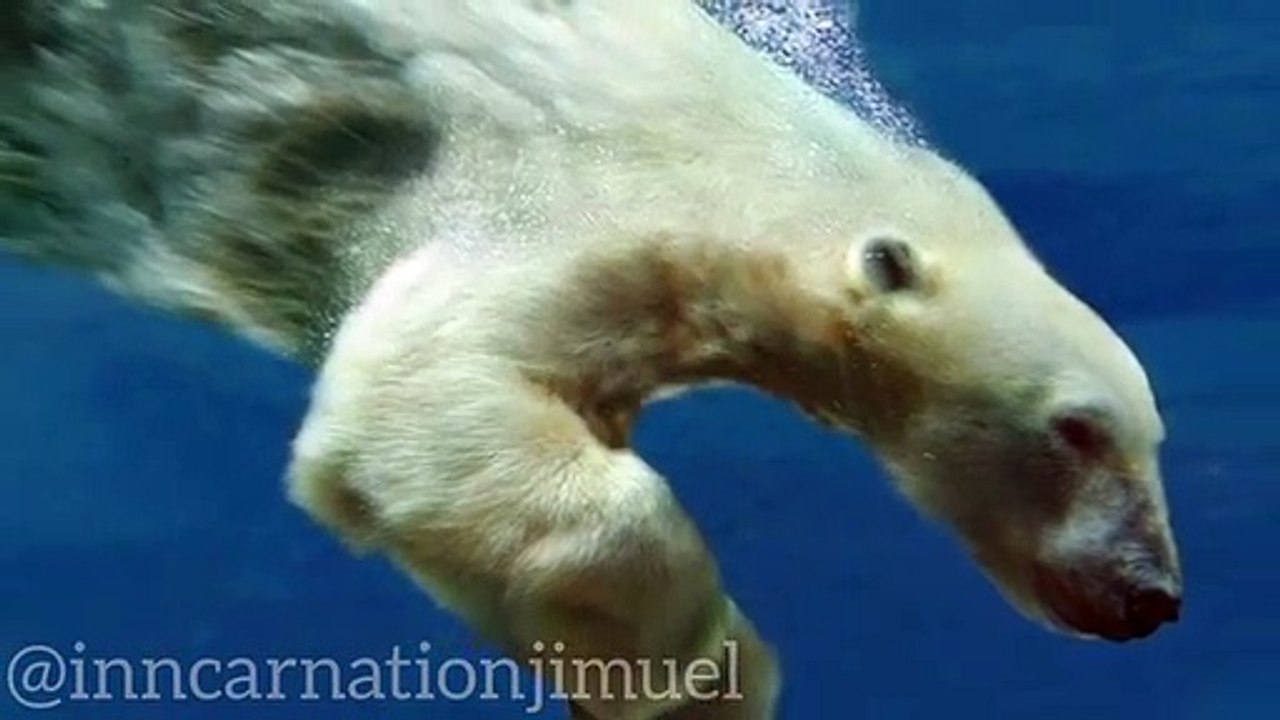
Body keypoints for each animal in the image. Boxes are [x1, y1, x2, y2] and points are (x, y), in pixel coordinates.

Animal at [0, 1, 1181, 718]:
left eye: (1154, 438)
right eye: (1077, 427)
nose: (1150, 596)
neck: (769, 165)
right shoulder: (555, 193)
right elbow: (421, 398)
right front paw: (702, 671)